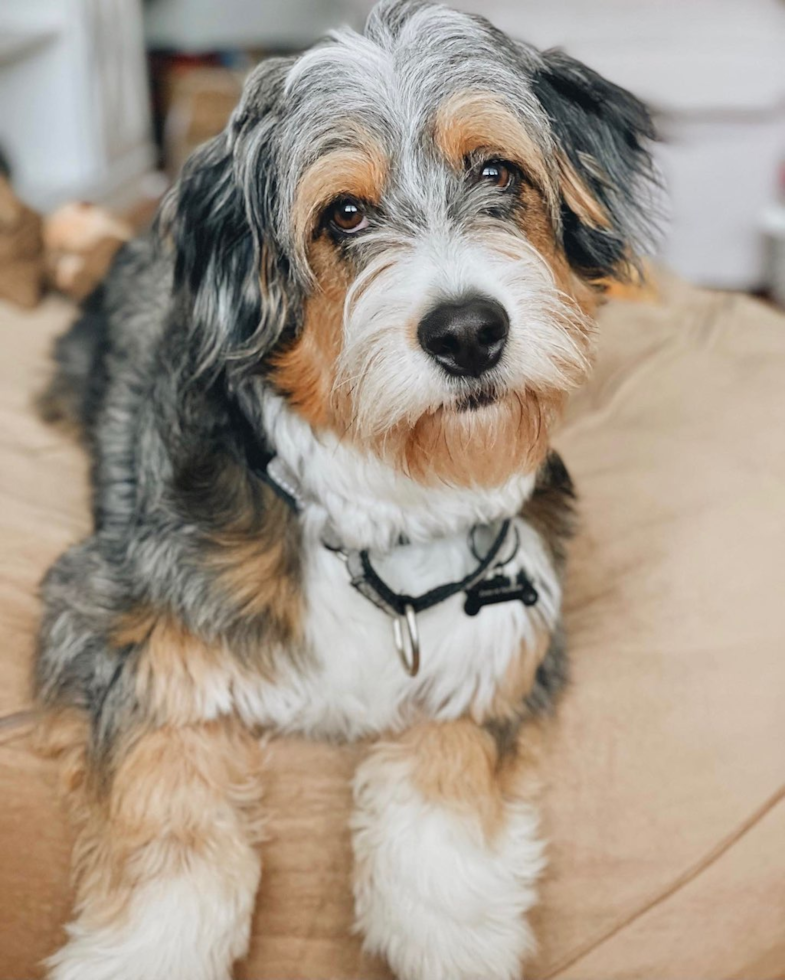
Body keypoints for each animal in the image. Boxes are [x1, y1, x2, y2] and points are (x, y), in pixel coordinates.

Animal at [33, 3, 652, 976]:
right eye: (345, 214)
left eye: (495, 170)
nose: (468, 332)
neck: (389, 511)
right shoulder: (110, 622)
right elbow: (165, 807)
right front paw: (147, 947)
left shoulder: (504, 639)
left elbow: (445, 785)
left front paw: (449, 931)